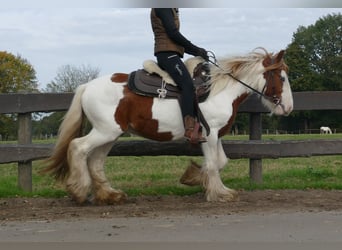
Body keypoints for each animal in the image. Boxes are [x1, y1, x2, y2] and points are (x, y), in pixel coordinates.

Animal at [42, 47, 294, 204]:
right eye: (281, 78)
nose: (289, 108)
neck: (218, 90)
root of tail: (86, 86)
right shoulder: (209, 134)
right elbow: (214, 164)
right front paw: (219, 193)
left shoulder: (216, 135)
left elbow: (220, 162)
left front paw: (193, 177)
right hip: (105, 131)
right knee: (78, 147)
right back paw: (79, 190)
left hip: (110, 134)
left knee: (95, 161)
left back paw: (109, 195)